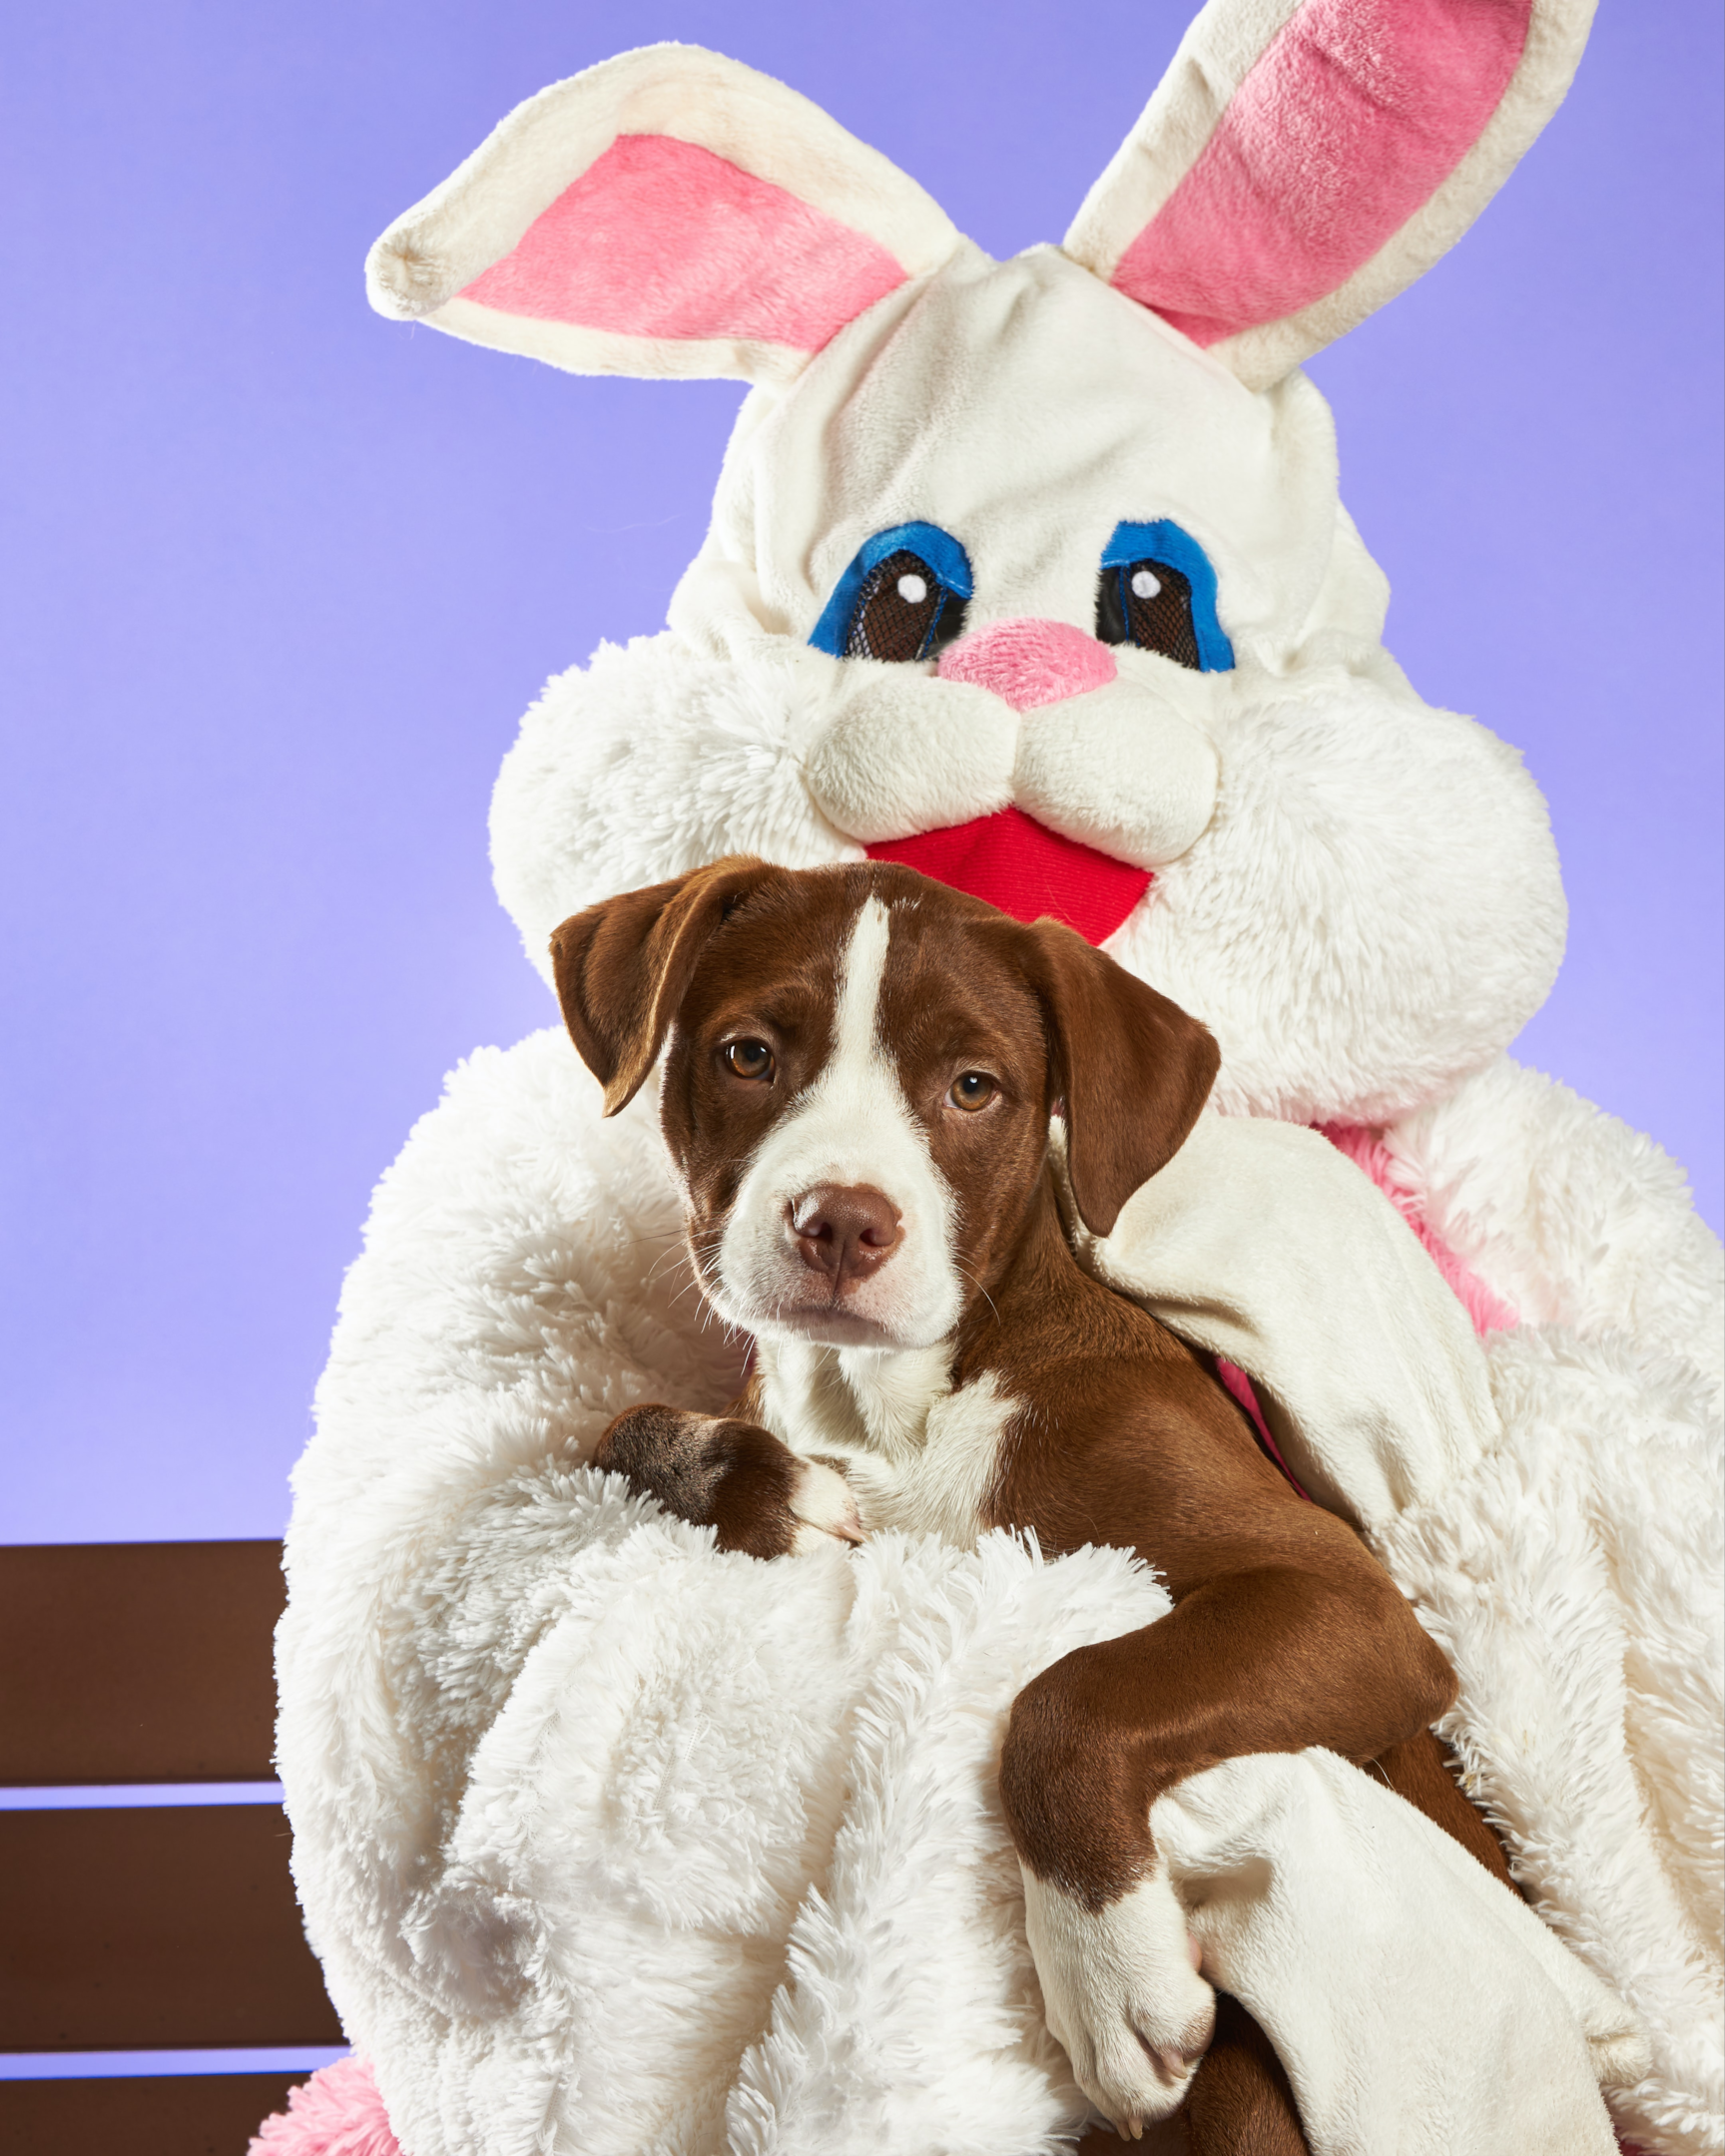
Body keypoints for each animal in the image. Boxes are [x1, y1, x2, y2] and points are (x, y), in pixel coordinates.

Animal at [551, 862, 1509, 2156]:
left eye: (974, 1088)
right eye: (748, 1054)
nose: (841, 1221)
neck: (891, 1403)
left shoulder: (1347, 1598)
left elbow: (1073, 1694)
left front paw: (1111, 1983)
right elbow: (616, 1427)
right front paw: (766, 1491)